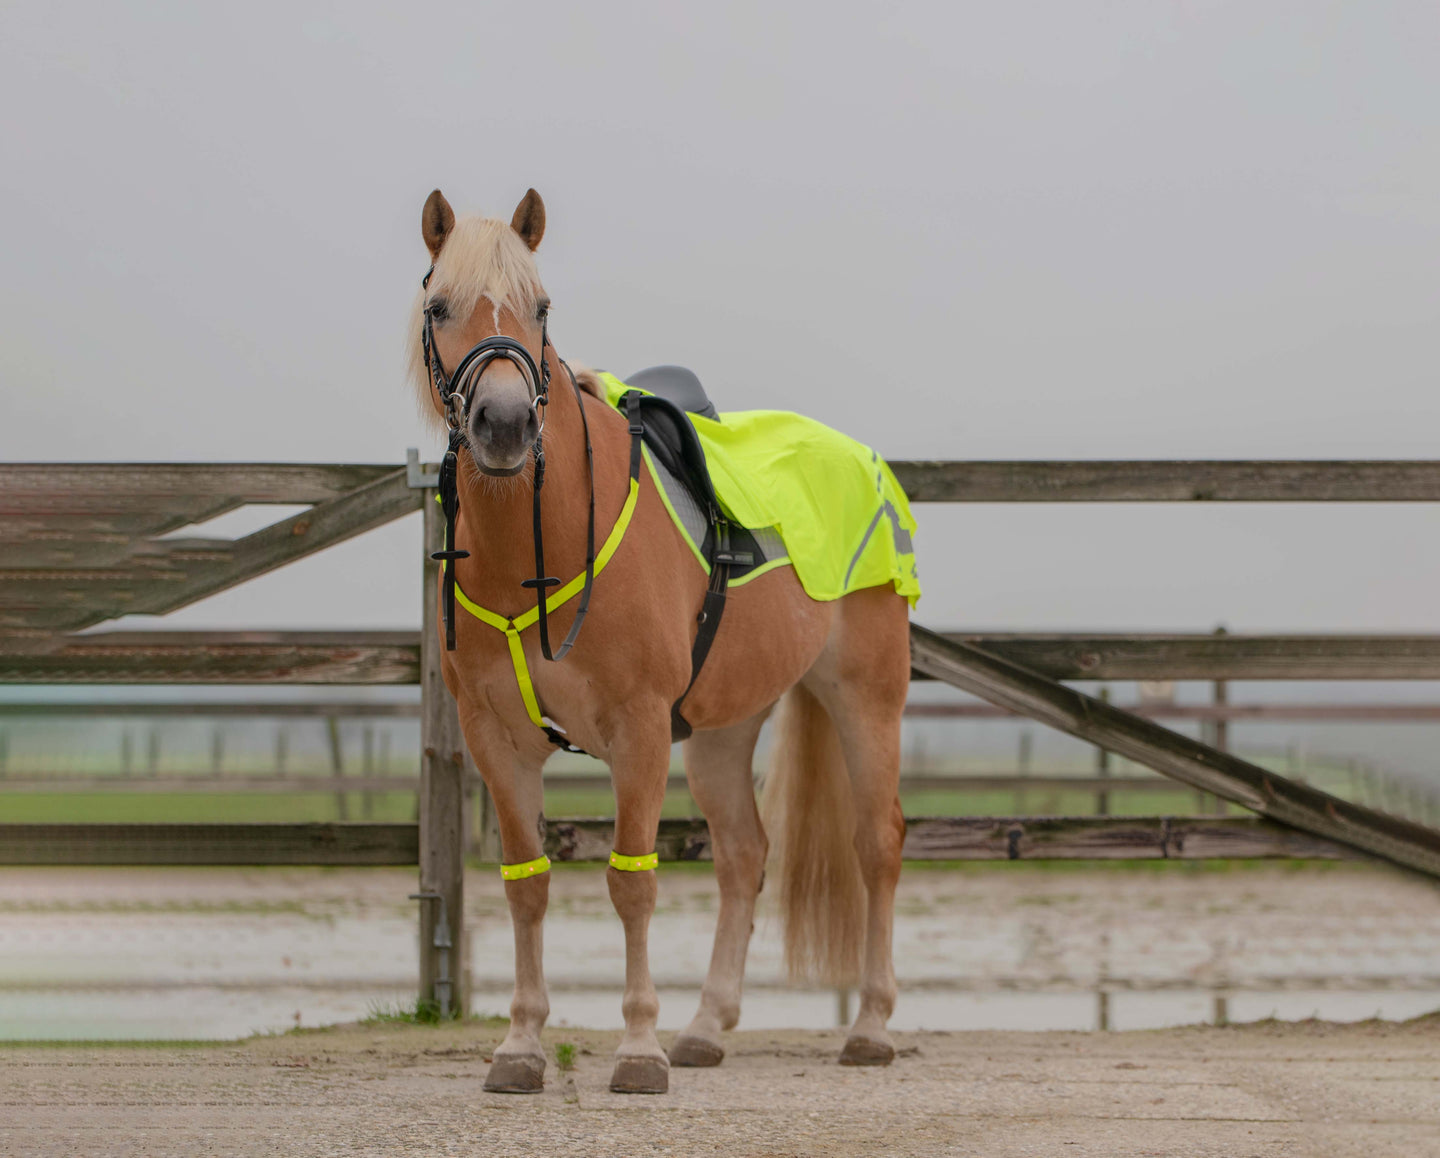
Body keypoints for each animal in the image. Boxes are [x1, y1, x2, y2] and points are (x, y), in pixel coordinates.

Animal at [411, 190, 910, 1094]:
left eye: (541, 306)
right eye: (439, 309)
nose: (503, 426)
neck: (539, 542)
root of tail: (865, 463)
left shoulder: (638, 730)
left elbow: (631, 884)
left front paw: (638, 1049)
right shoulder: (496, 740)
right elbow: (527, 886)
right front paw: (520, 1046)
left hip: (865, 699)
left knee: (876, 845)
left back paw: (870, 1027)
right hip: (723, 727)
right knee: (743, 855)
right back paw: (707, 1027)